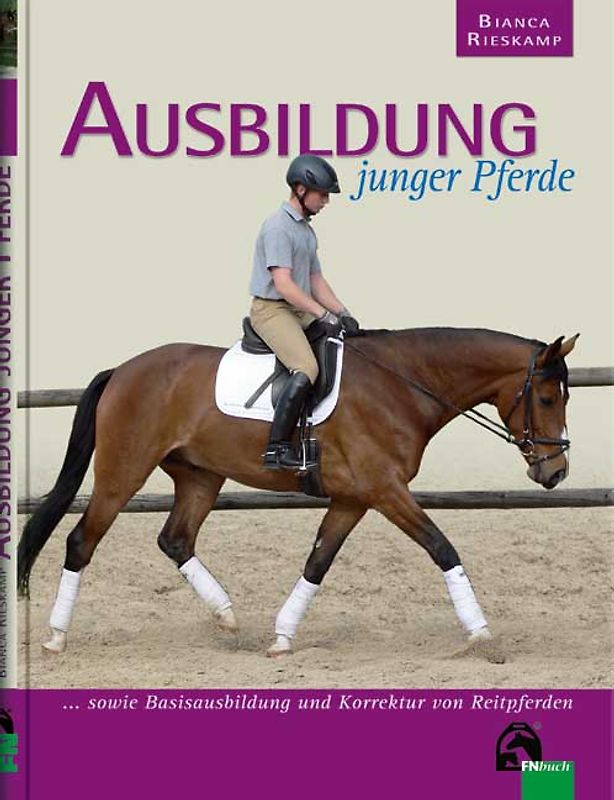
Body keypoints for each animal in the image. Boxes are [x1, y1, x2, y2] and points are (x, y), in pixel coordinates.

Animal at [18, 327, 578, 659]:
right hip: (123, 473)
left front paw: (283, 637)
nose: (555, 472)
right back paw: (56, 637)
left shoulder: (354, 498)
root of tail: (123, 370)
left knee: (175, 539)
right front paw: (480, 632)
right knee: (81, 541)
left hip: (200, 476)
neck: (401, 385)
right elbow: (443, 548)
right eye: (548, 398)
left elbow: (317, 562)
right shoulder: (386, 489)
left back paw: (226, 616)